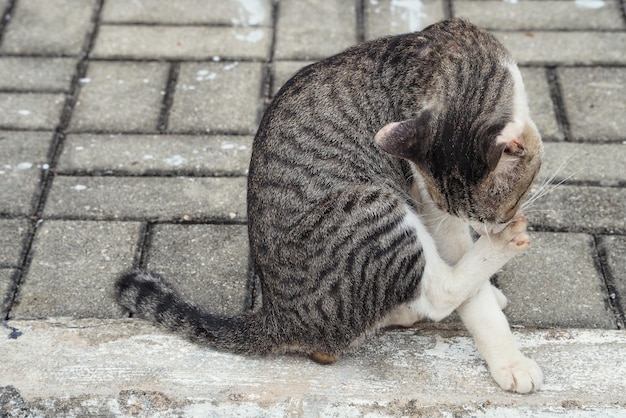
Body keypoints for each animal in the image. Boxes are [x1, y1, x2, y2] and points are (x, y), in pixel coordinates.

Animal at [116, 18, 540, 392]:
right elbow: (469, 291)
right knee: (435, 291)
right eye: (494, 212)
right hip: (370, 207)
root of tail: (278, 317)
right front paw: (508, 360)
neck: (451, 61)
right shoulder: (428, 201)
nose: (492, 228)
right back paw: (495, 252)